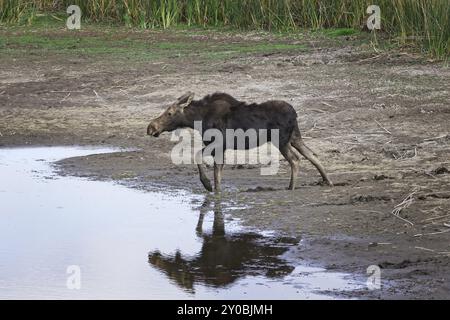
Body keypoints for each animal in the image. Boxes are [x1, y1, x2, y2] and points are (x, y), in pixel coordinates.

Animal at [146, 92, 332, 192]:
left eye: (169, 113)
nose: (150, 127)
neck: (198, 119)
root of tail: (295, 113)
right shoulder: (220, 147)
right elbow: (217, 171)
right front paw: (216, 190)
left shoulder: (218, 144)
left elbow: (199, 158)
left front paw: (207, 185)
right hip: (294, 137)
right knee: (311, 155)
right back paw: (327, 181)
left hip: (281, 140)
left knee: (295, 159)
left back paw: (291, 187)